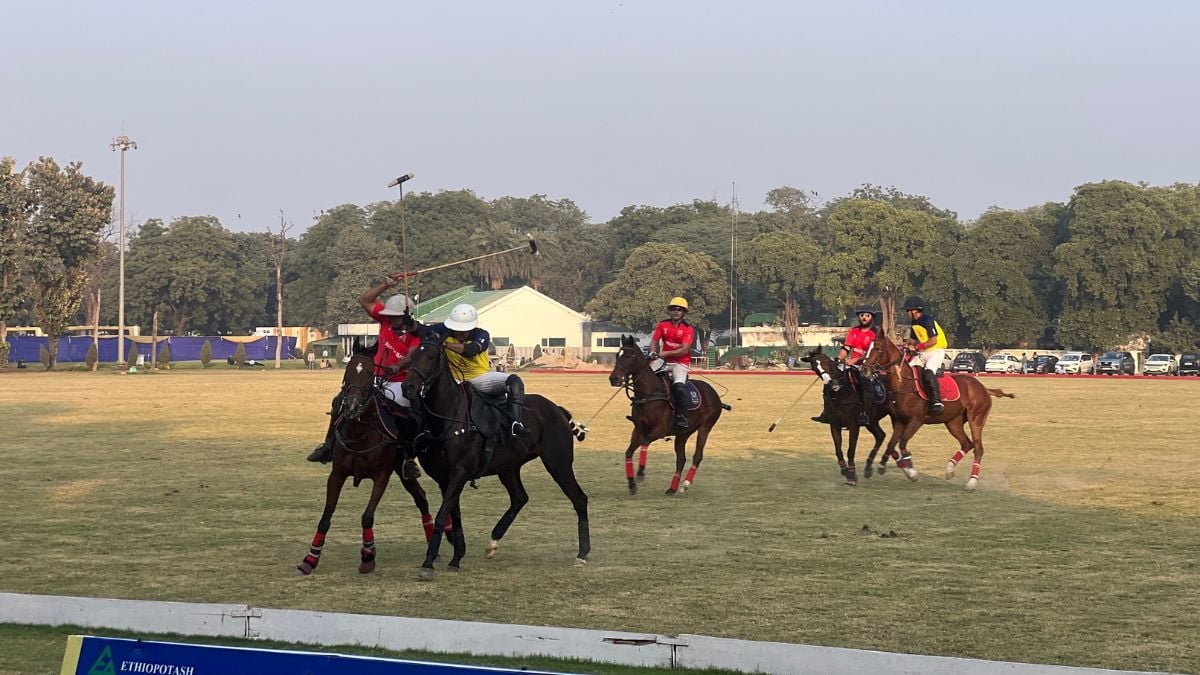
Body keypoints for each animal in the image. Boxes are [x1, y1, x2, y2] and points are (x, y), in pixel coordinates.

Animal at [295, 341, 436, 571]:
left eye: (370, 373)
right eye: (348, 371)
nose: (351, 406)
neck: (359, 433)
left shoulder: (381, 476)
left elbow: (367, 517)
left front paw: (368, 557)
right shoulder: (337, 475)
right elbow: (325, 518)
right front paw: (310, 559)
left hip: (400, 468)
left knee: (420, 498)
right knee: (421, 498)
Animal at [403, 331, 590, 578]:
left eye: (432, 356)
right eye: (413, 355)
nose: (407, 387)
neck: (448, 418)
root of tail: (558, 410)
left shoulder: (460, 473)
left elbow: (443, 515)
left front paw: (428, 563)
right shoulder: (445, 479)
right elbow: (454, 516)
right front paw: (456, 557)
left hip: (558, 462)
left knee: (579, 499)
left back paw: (582, 554)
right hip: (509, 467)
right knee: (520, 498)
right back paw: (492, 542)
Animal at [609, 331, 729, 494]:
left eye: (629, 356)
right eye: (617, 355)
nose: (613, 379)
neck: (648, 394)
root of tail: (715, 394)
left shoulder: (660, 430)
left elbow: (645, 443)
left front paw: (641, 472)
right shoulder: (638, 430)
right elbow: (628, 452)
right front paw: (632, 484)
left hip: (706, 427)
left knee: (697, 456)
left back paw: (685, 484)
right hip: (683, 433)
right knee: (681, 459)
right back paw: (672, 488)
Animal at [864, 331, 1012, 487]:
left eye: (878, 349)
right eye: (868, 348)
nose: (864, 369)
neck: (903, 382)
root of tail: (983, 388)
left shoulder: (916, 420)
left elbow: (902, 443)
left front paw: (911, 471)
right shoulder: (899, 421)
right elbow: (891, 445)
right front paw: (887, 466)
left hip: (976, 420)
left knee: (978, 448)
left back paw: (972, 482)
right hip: (953, 422)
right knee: (967, 444)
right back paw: (949, 469)